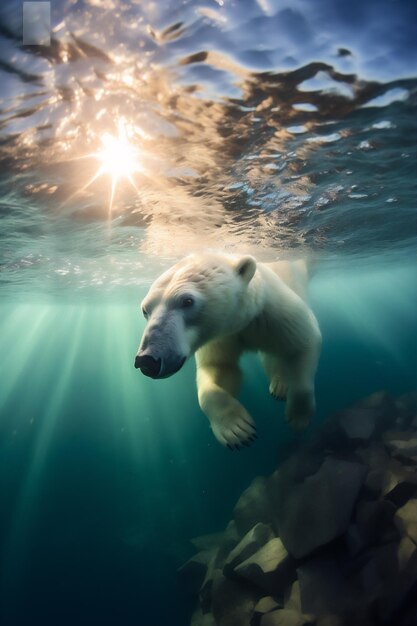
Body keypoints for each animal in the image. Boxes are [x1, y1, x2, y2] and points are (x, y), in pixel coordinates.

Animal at [133, 251, 318, 446]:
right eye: (145, 310)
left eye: (187, 301)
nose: (146, 361)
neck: (242, 320)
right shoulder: (221, 337)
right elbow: (219, 369)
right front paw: (236, 428)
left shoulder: (272, 313)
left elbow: (304, 343)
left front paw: (299, 418)